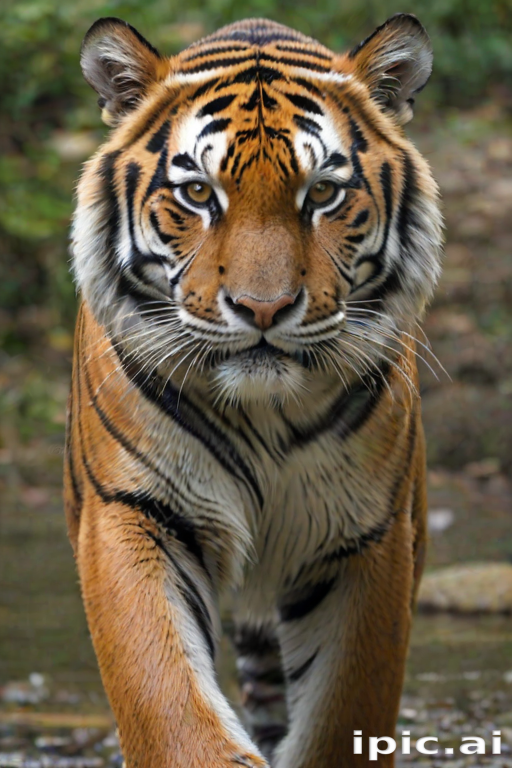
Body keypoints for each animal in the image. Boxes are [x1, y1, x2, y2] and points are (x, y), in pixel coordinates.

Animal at [64, 12, 442, 768]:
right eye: (198, 194)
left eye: (322, 193)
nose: (262, 310)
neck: (263, 411)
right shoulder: (130, 510)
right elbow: (169, 706)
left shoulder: (369, 534)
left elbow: (344, 712)